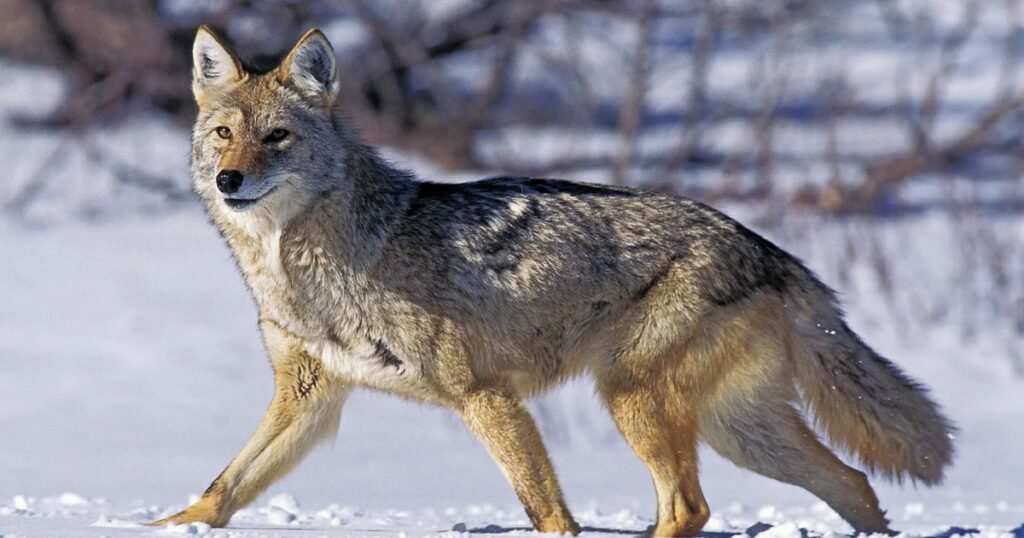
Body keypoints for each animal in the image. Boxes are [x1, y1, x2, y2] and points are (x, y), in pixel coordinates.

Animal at [152, 26, 956, 536]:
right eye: (224, 134)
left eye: (277, 138)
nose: (228, 181)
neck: (308, 262)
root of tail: (771, 251)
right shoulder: (308, 398)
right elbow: (222, 488)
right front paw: (163, 525)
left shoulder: (483, 396)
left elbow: (547, 511)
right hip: (739, 433)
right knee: (852, 483)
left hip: (635, 399)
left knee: (689, 509)